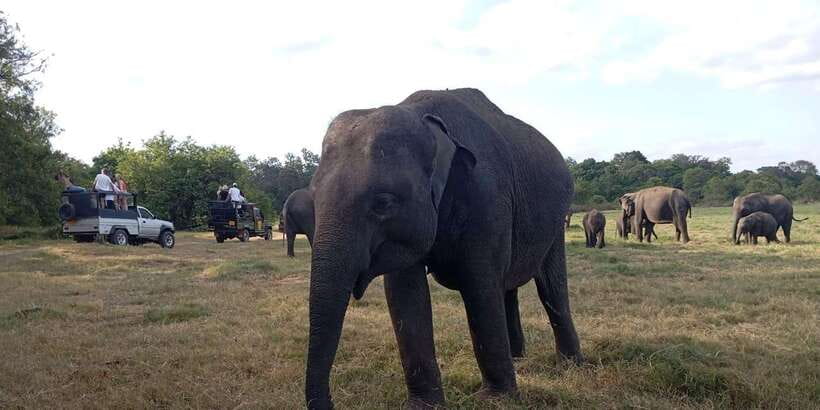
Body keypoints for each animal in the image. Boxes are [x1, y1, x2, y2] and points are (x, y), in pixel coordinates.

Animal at [304, 88, 582, 409]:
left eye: (383, 203)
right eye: (313, 199)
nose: (332, 402)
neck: (422, 116)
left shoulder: (487, 198)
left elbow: (479, 285)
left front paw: (495, 399)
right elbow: (405, 294)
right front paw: (424, 405)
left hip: (555, 222)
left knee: (550, 287)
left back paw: (570, 365)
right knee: (508, 287)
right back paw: (518, 359)